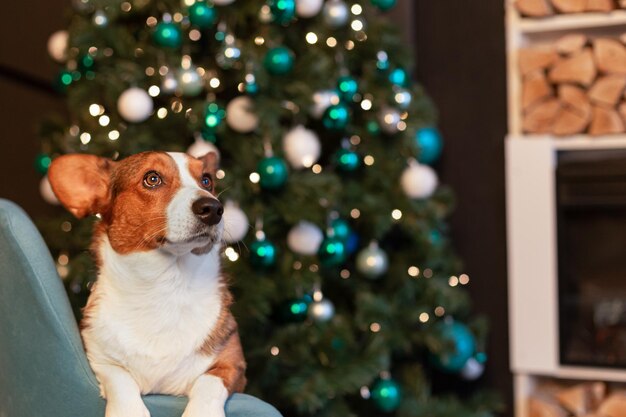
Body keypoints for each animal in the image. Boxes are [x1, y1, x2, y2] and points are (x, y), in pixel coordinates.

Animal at [48, 150, 246, 416]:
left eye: (206, 181)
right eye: (152, 179)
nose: (214, 208)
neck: (166, 284)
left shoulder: (233, 364)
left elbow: (208, 383)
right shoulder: (98, 357)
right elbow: (119, 377)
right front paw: (127, 410)